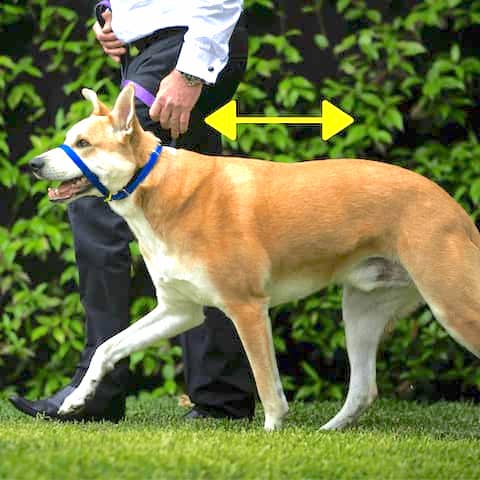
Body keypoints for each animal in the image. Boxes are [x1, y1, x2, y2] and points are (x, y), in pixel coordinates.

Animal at [29, 85, 480, 432]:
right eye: (70, 139)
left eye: (83, 144)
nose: (33, 164)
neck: (155, 185)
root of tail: (453, 206)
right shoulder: (179, 311)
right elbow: (108, 347)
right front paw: (76, 400)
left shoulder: (247, 308)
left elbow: (267, 386)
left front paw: (272, 436)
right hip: (361, 310)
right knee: (363, 390)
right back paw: (328, 431)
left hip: (453, 306)